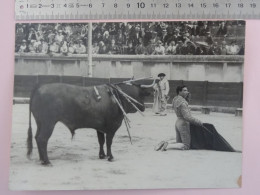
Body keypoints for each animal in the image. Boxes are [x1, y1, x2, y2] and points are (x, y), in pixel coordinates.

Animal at [26, 81, 154, 165]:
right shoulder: (112, 128)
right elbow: (109, 142)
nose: (143, 107)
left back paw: (42, 159)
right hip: (48, 123)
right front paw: (110, 157)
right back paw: (47, 161)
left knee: (37, 137)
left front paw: (102, 155)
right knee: (42, 139)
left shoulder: (100, 128)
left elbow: (101, 141)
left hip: (40, 123)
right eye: (141, 95)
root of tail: (39, 88)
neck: (118, 98)